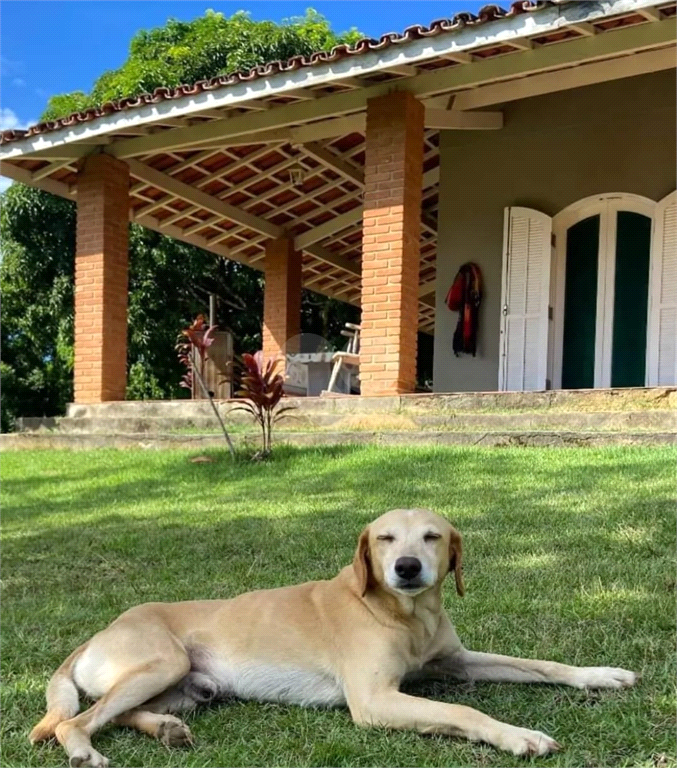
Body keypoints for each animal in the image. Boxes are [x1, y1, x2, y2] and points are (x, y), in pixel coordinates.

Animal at [30, 508, 632, 764]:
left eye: (432, 537)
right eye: (385, 539)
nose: (408, 567)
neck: (406, 615)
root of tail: (99, 631)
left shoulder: (457, 661)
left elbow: (543, 665)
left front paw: (599, 675)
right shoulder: (373, 700)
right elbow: (464, 713)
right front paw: (518, 736)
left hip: (186, 686)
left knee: (118, 712)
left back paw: (166, 730)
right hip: (163, 663)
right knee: (75, 722)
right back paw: (85, 752)